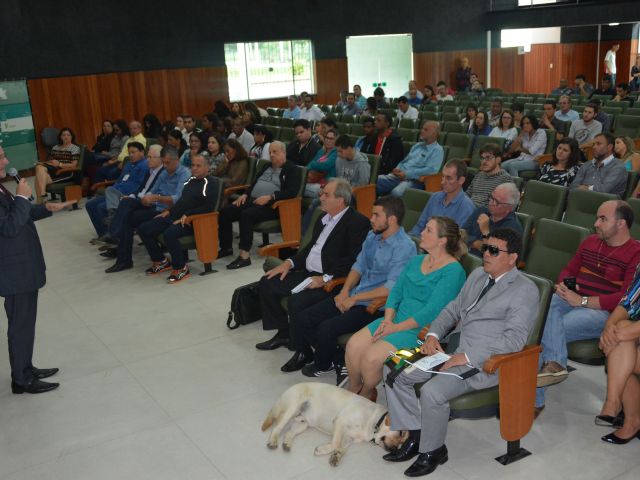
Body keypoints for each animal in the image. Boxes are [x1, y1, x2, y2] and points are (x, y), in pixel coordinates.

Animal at [262, 382, 408, 464]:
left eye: (402, 443)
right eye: (400, 432)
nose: (394, 450)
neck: (374, 422)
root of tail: (289, 388)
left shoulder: (350, 438)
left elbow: (342, 448)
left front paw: (336, 456)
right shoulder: (340, 421)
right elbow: (335, 444)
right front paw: (322, 450)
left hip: (303, 423)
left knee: (289, 432)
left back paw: (286, 443)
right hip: (292, 408)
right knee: (277, 427)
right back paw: (273, 441)